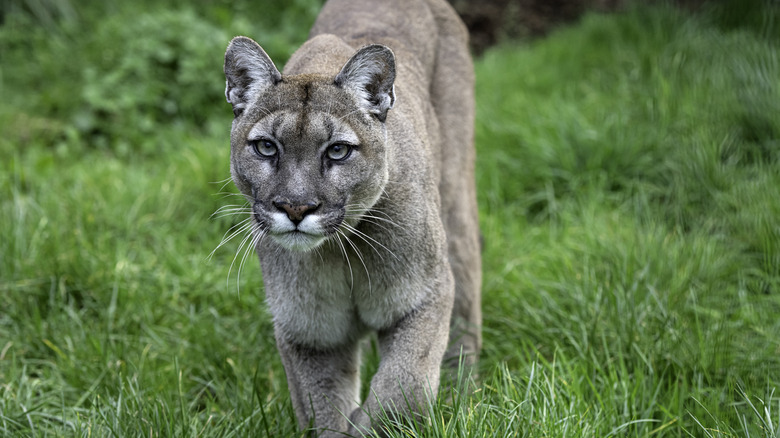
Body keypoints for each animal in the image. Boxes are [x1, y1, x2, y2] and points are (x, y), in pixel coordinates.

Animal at [221, 0, 482, 434]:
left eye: (338, 151)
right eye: (266, 147)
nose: (296, 207)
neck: (339, 250)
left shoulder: (424, 293)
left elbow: (406, 385)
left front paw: (368, 425)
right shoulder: (310, 331)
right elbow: (321, 405)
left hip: (456, 198)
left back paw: (463, 385)